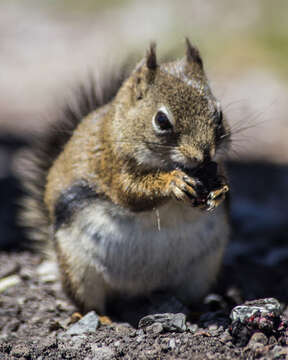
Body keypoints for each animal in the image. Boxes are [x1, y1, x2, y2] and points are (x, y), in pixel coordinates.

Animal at [21, 38, 231, 316]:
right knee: (89, 303)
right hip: (79, 270)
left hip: (202, 271)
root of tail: (137, 292)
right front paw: (172, 183)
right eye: (161, 120)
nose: (204, 155)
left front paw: (219, 191)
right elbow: (130, 193)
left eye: (219, 114)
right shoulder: (111, 165)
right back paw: (101, 318)